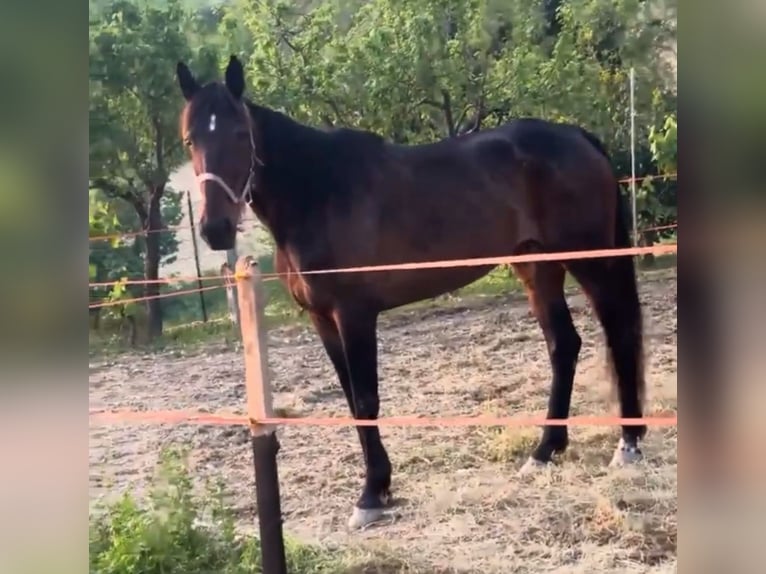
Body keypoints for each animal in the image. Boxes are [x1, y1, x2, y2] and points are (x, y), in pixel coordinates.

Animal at [176, 55, 648, 532]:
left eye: (241, 133)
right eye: (190, 139)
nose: (215, 229)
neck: (317, 192)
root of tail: (577, 137)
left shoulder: (354, 314)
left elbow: (366, 398)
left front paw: (370, 495)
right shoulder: (322, 319)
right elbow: (352, 401)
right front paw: (379, 487)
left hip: (590, 261)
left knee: (619, 331)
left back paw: (627, 444)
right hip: (537, 266)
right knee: (563, 344)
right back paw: (545, 450)